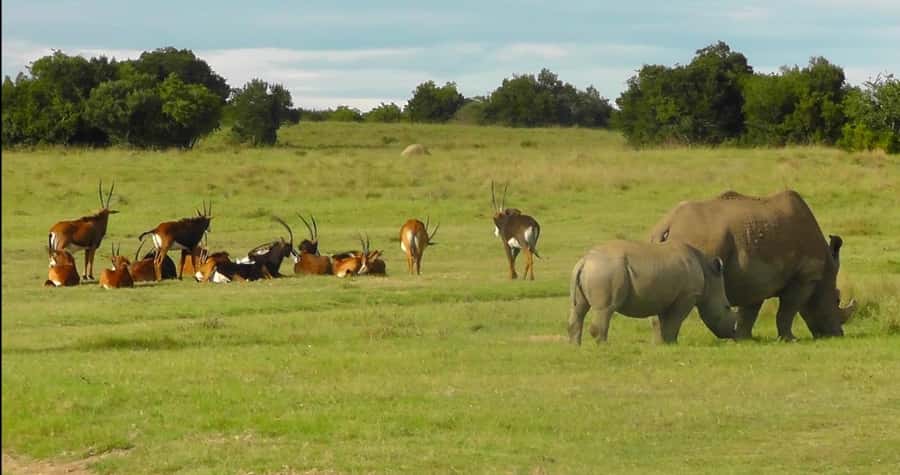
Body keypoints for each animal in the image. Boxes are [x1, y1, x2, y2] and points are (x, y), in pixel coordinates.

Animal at [568, 240, 736, 344]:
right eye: (727, 307)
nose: (733, 334)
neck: (708, 275)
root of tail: (584, 261)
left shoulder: (664, 297)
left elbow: (664, 321)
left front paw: (663, 344)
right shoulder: (687, 295)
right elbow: (675, 321)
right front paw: (672, 344)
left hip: (595, 270)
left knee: (579, 309)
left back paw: (575, 348)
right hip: (606, 270)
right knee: (605, 309)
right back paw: (604, 348)